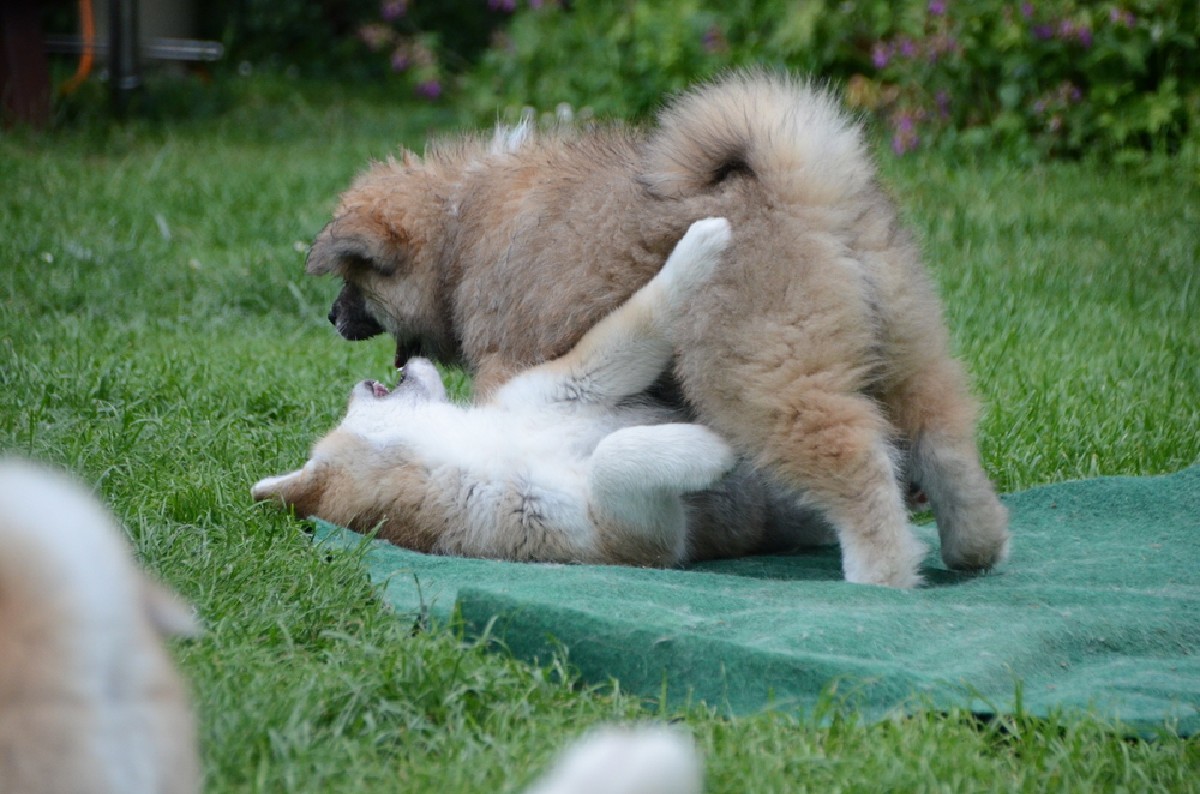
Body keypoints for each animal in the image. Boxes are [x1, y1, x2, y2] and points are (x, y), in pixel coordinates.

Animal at [254, 218, 828, 565]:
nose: (361, 380)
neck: (488, 445)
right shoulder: (640, 538)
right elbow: (614, 458)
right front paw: (709, 448)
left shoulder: (575, 381)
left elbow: (647, 311)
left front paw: (702, 242)